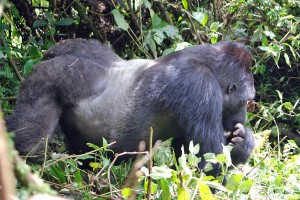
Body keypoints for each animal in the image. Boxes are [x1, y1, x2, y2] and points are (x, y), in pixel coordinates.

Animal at [4, 39, 254, 173]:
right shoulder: (200, 85)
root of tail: (51, 53)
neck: (208, 63)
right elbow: (209, 163)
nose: (241, 118)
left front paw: (243, 143)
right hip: (50, 75)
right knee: (28, 142)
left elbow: (184, 154)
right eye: (246, 101)